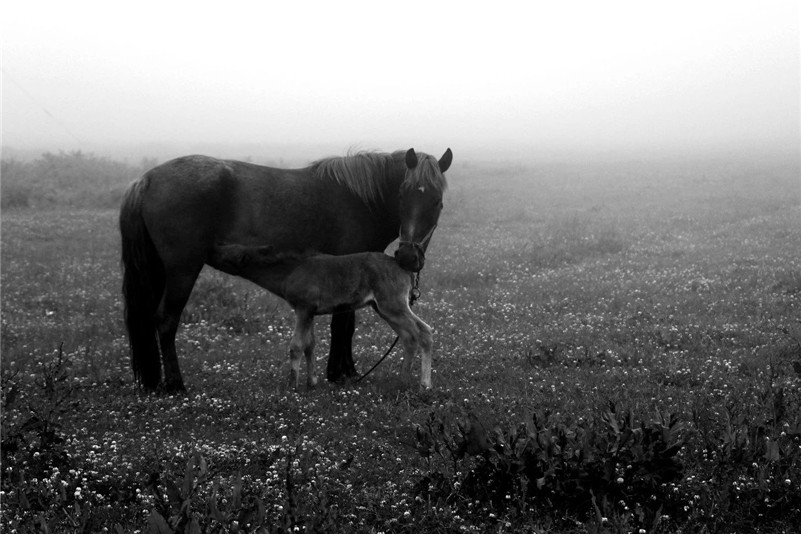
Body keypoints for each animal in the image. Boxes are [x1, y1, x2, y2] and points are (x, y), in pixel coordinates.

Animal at [206, 246, 432, 390]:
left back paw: (424, 385)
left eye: (226, 255)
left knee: (422, 332)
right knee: (411, 336)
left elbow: (296, 346)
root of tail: (404, 269)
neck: (291, 270)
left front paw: (292, 386)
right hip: (384, 309)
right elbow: (310, 345)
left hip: (392, 305)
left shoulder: (303, 309)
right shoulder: (309, 313)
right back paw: (403, 381)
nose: (208, 253)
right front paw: (311, 382)